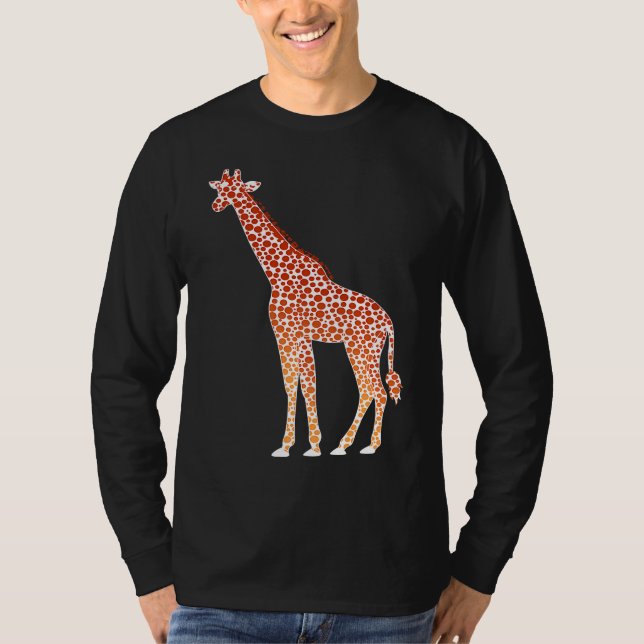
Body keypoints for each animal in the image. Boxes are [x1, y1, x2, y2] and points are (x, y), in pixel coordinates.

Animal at [209, 169, 402, 457]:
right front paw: (312, 444)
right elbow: (307, 384)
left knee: (373, 390)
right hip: (370, 350)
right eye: (219, 188)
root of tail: (388, 321)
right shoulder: (302, 337)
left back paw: (357, 445)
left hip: (359, 348)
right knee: (374, 391)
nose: (215, 205)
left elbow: (291, 384)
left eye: (235, 190)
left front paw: (287, 445)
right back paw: (356, 444)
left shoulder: (285, 334)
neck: (276, 274)